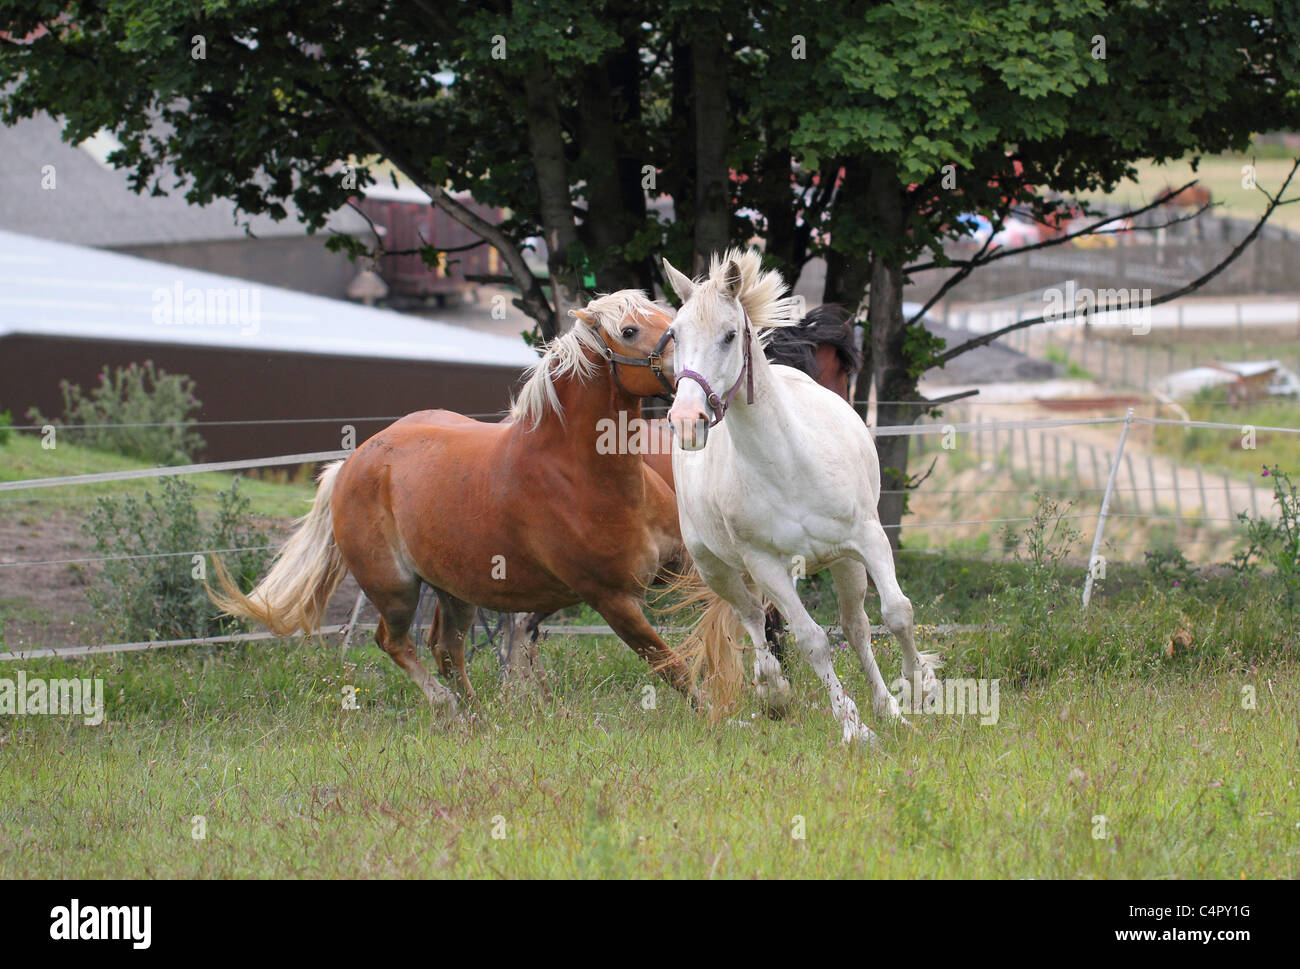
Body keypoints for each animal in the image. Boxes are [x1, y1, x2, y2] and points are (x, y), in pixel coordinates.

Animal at [210, 290, 695, 713]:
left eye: (666, 315)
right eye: (630, 330)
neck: (584, 476)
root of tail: (351, 464)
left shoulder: (681, 564)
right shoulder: (612, 599)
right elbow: (675, 668)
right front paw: (711, 717)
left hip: (455, 591)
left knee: (446, 650)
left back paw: (477, 718)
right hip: (396, 589)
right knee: (396, 643)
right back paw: (451, 708)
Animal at [661, 248, 941, 746]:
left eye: (729, 335)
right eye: (674, 334)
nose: (687, 420)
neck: (788, 465)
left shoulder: (867, 541)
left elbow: (897, 613)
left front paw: (915, 692)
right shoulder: (765, 565)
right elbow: (812, 641)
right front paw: (853, 728)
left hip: (844, 563)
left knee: (856, 627)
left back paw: (888, 709)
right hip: (719, 569)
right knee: (754, 619)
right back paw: (773, 690)